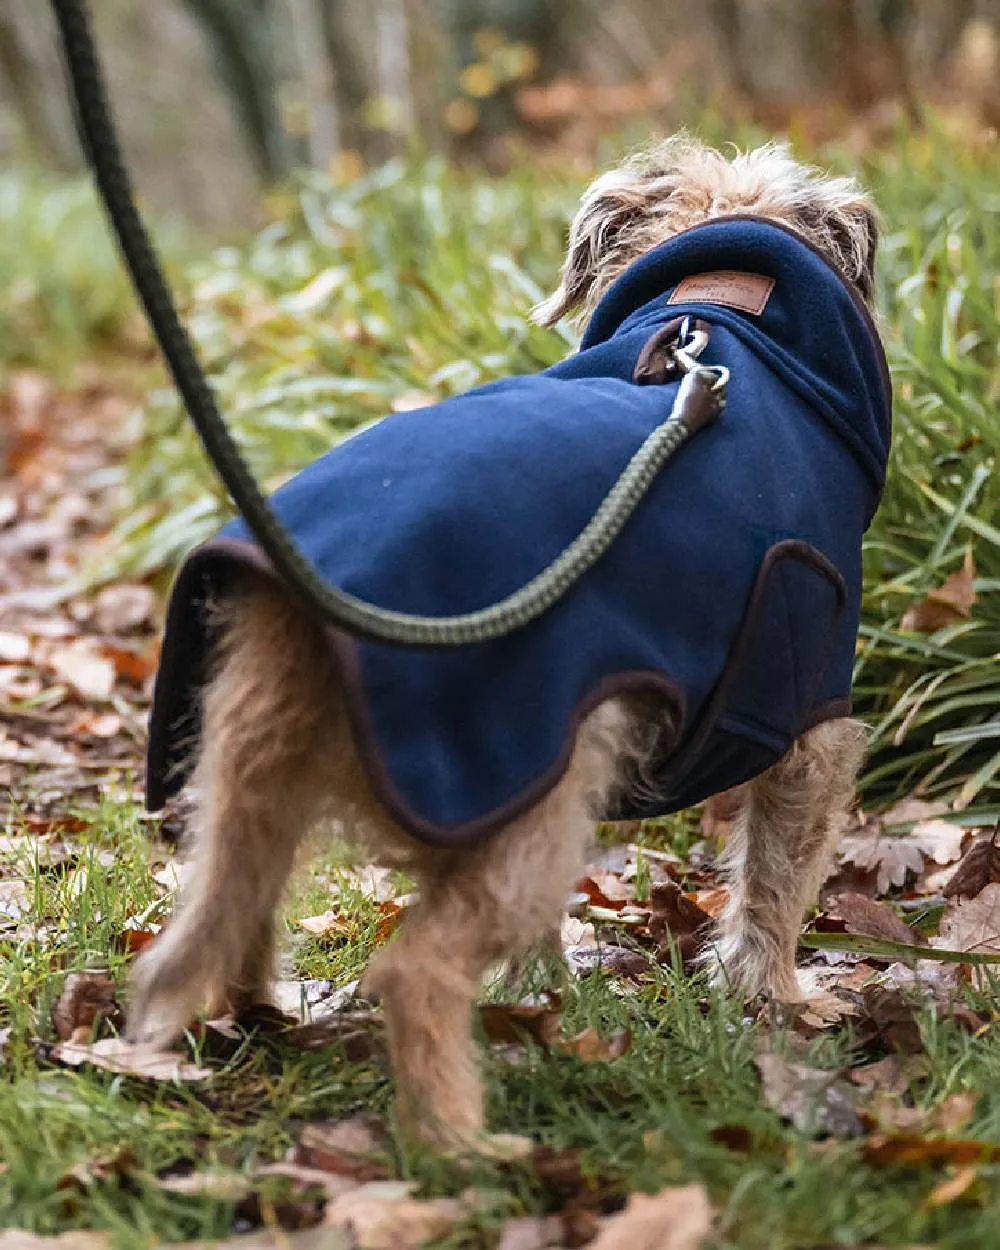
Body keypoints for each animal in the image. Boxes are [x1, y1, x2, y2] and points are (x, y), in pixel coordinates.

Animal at [126, 136, 890, 1150]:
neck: (726, 320)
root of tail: (299, 600)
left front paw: (547, 1001)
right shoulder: (809, 726)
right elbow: (774, 885)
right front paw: (773, 1003)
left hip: (262, 782)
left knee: (242, 893)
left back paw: (267, 1014)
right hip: (516, 804)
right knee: (413, 973)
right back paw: (463, 1146)